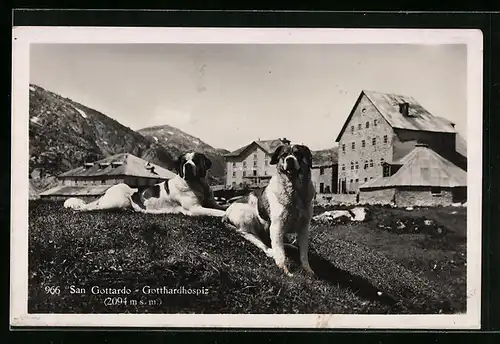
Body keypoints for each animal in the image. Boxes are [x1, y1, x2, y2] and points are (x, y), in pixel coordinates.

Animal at [64, 152, 227, 216]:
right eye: (183, 161)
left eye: (196, 161)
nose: (188, 165)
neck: (199, 184)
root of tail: (107, 192)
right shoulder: (195, 209)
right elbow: (217, 212)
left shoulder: (212, 202)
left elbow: (221, 207)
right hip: (117, 199)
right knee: (94, 208)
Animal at [224, 141, 316, 276]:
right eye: (284, 155)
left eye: (298, 153)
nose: (289, 159)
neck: (294, 192)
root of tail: (226, 212)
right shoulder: (277, 227)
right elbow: (280, 253)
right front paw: (284, 269)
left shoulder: (304, 228)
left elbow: (304, 254)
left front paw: (308, 270)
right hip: (249, 218)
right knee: (261, 243)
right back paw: (271, 251)